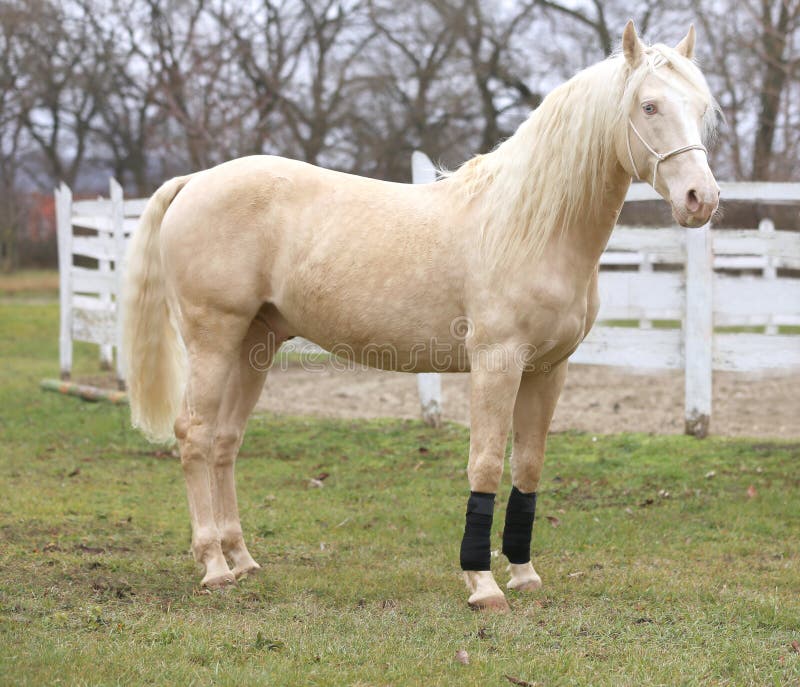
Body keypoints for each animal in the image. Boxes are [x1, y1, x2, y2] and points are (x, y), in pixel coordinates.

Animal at [123, 22, 720, 612]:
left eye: (700, 106)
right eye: (649, 106)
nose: (702, 198)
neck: (528, 226)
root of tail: (195, 180)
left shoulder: (549, 370)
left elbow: (528, 465)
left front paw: (524, 575)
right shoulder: (497, 363)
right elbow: (485, 462)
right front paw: (482, 585)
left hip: (255, 344)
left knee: (226, 441)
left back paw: (242, 559)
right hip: (213, 338)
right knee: (195, 434)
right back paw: (214, 567)